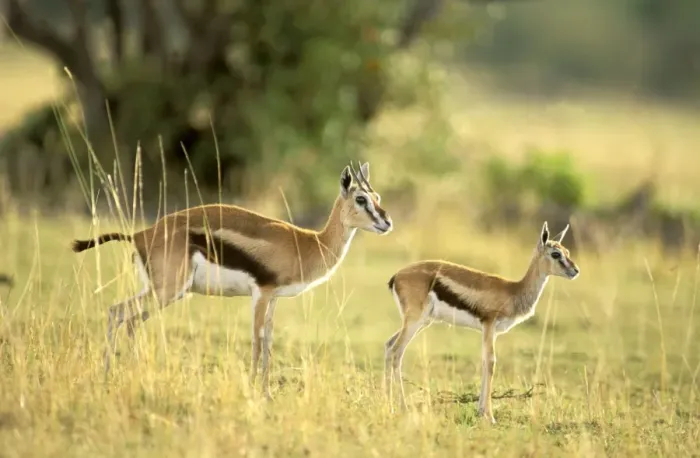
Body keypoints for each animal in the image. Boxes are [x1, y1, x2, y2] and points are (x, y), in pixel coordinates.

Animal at [71, 162, 392, 398]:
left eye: (377, 198)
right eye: (361, 199)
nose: (386, 222)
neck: (307, 243)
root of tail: (140, 235)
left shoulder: (273, 297)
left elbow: (269, 340)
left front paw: (267, 393)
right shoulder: (261, 292)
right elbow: (257, 339)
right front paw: (253, 390)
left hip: (162, 292)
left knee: (128, 319)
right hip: (168, 291)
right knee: (119, 312)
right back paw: (110, 376)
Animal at [384, 222, 579, 422]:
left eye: (567, 251)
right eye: (556, 254)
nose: (575, 271)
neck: (513, 291)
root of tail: (396, 276)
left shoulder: (490, 331)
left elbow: (485, 362)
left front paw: (481, 412)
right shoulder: (489, 325)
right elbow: (491, 362)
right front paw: (490, 416)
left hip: (422, 322)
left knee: (389, 345)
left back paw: (388, 405)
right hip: (415, 321)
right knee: (397, 351)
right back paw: (402, 407)